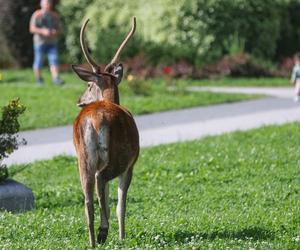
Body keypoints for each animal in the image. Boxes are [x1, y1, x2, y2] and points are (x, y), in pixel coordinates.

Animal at [71, 17, 139, 248]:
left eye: (88, 86)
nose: (79, 101)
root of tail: (95, 120)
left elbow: (108, 200)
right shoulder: (132, 163)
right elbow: (120, 204)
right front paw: (122, 236)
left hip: (83, 157)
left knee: (88, 199)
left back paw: (93, 240)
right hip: (120, 157)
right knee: (101, 179)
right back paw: (103, 232)